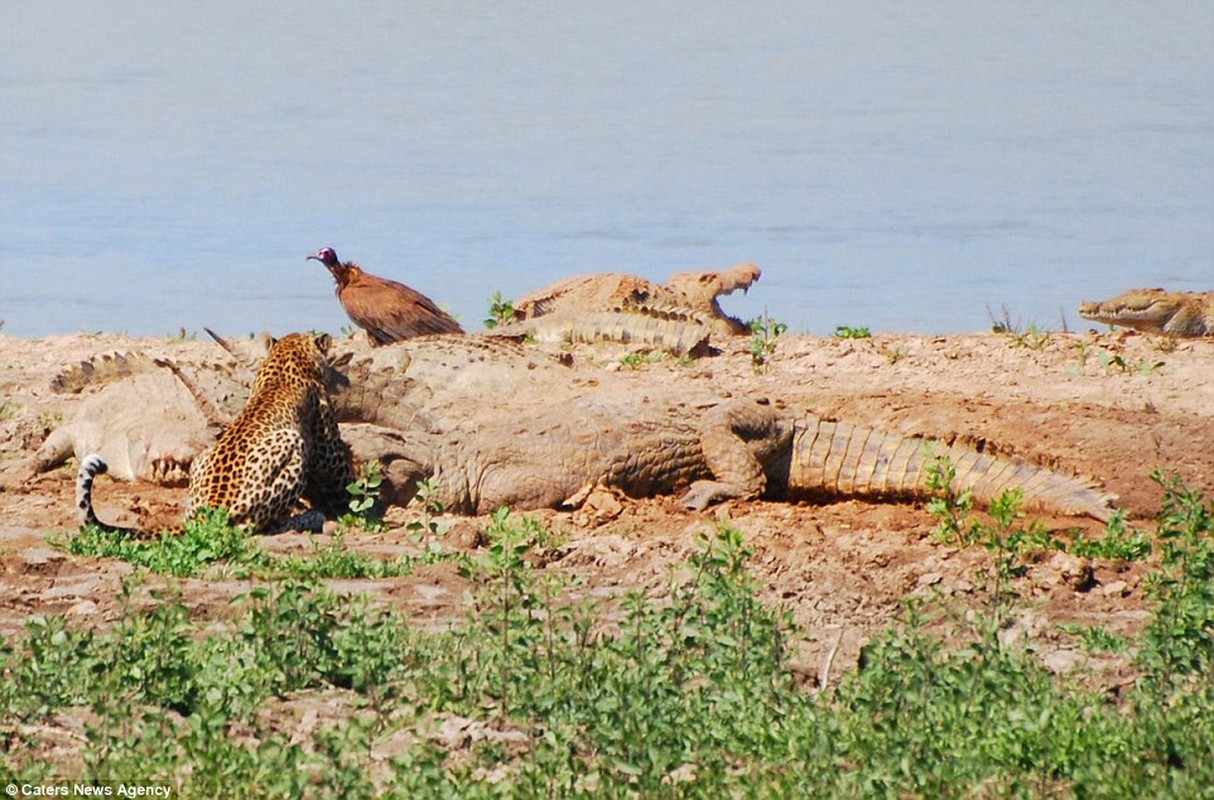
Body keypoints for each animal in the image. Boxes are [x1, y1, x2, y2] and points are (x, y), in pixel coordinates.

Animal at [75, 332, 354, 531]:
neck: (287, 358)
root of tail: (211, 509)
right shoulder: (329, 453)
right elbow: (345, 481)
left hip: (202, 459)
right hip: (290, 442)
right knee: (261, 526)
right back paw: (309, 518)